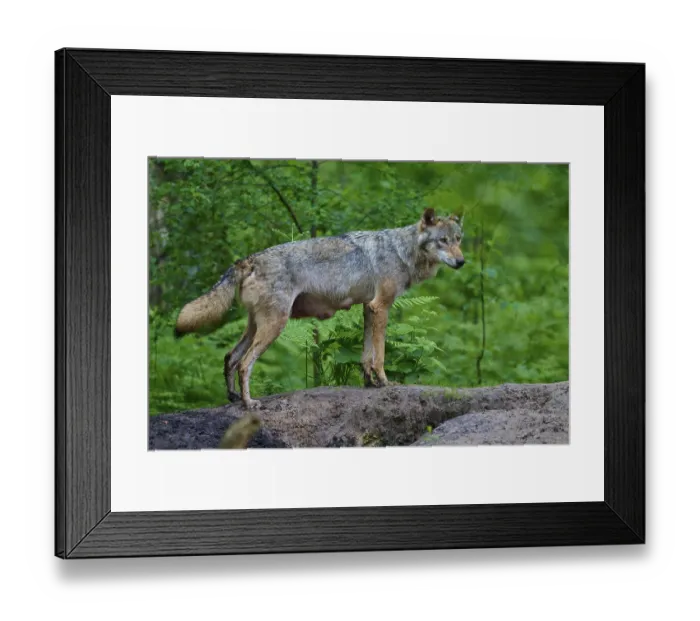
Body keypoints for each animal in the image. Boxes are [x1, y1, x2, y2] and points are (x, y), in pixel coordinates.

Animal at [174, 207, 465, 409]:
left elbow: (366, 355)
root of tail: (250, 259)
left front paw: (369, 383)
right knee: (245, 363)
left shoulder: (368, 309)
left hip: (256, 326)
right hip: (274, 326)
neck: (400, 250)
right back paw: (249, 404)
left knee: (230, 357)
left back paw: (234, 398)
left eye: (459, 239)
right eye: (443, 240)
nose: (462, 262)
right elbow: (380, 355)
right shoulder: (381, 307)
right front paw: (384, 382)